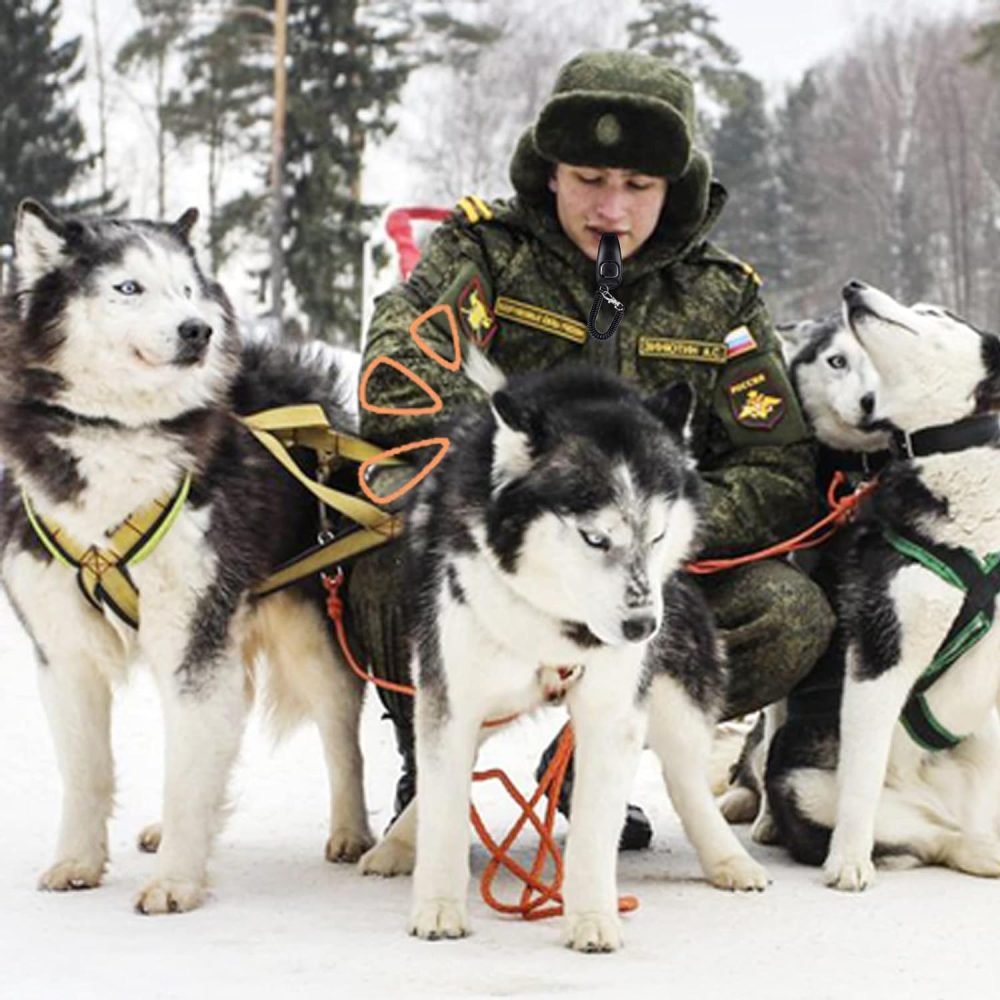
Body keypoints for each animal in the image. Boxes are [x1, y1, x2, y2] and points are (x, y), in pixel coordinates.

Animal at [0, 203, 374, 916]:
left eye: (186, 289)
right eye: (129, 287)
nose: (198, 329)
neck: (119, 434)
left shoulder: (193, 634)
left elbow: (190, 765)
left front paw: (177, 879)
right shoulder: (65, 651)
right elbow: (87, 771)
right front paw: (78, 860)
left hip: (311, 632)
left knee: (342, 734)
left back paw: (352, 832)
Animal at [360, 364, 764, 948]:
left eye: (658, 535)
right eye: (595, 538)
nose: (642, 627)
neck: (557, 624)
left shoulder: (613, 711)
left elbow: (597, 827)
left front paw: (592, 916)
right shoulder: (452, 698)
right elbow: (445, 809)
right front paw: (437, 905)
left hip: (678, 691)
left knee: (686, 778)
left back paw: (727, 859)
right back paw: (396, 845)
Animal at [760, 282, 1000, 892]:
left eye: (933, 311)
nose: (854, 288)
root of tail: (938, 805)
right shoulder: (880, 652)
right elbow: (862, 776)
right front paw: (848, 860)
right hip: (803, 781)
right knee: (933, 839)